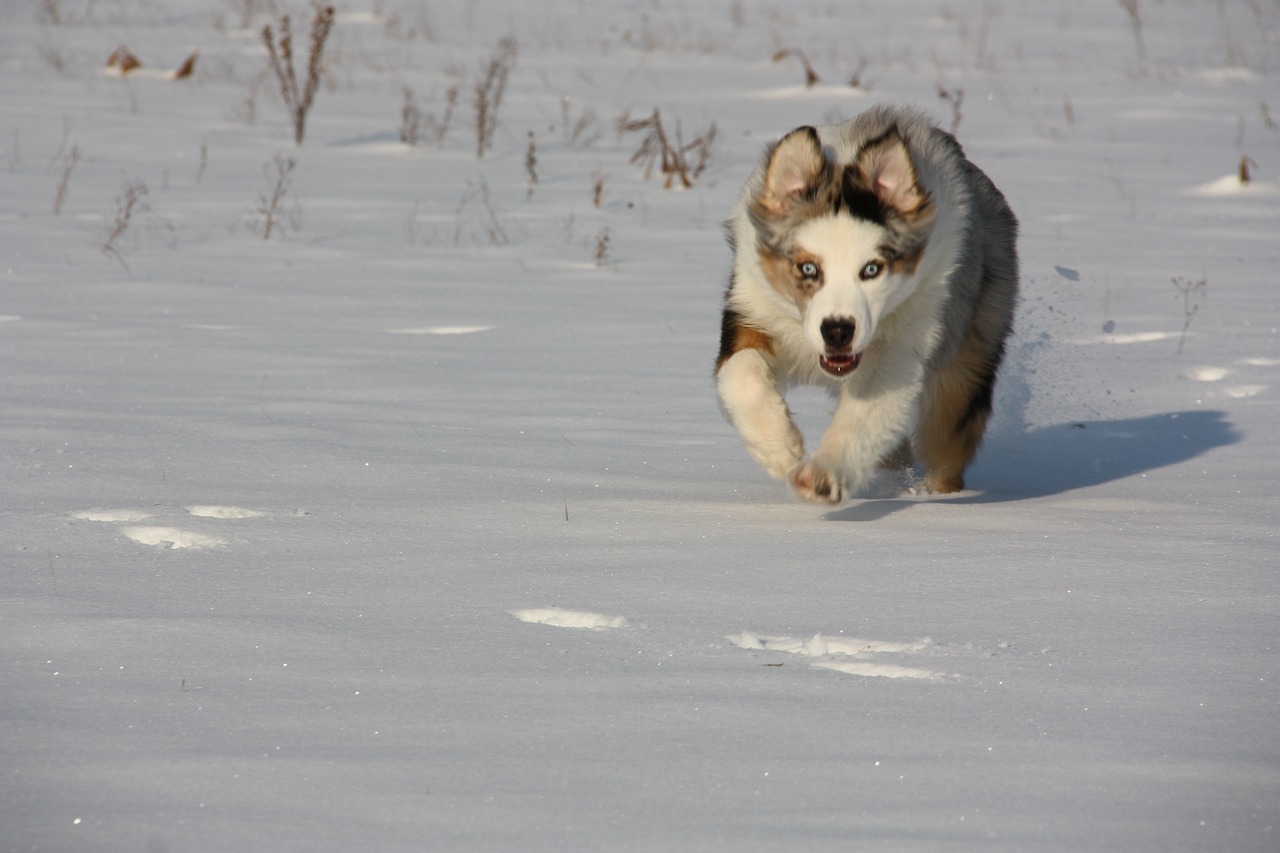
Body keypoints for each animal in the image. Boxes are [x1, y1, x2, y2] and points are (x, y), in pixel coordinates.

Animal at [721, 103, 1018, 502]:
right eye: (808, 267)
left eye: (872, 269)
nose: (837, 332)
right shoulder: (753, 306)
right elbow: (741, 371)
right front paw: (781, 450)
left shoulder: (902, 346)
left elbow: (866, 412)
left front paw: (822, 475)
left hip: (970, 342)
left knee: (946, 440)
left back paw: (938, 496)